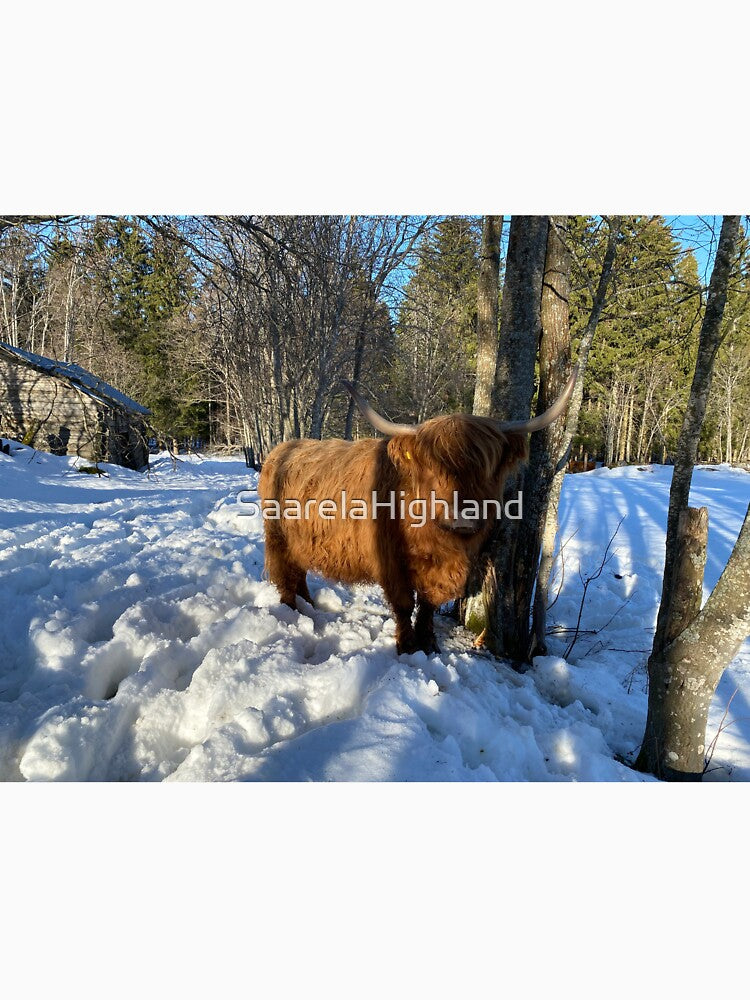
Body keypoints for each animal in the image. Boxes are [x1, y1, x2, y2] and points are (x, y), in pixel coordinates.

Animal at [258, 371, 576, 656]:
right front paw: (407, 646)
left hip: (300, 541)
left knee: (298, 571)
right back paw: (293, 612)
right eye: (435, 470)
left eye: (485, 469)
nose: (462, 515)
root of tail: (281, 449)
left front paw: (429, 643)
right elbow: (403, 604)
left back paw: (308, 606)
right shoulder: (389, 560)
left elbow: (427, 605)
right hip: (277, 537)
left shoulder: (437, 570)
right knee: (284, 572)